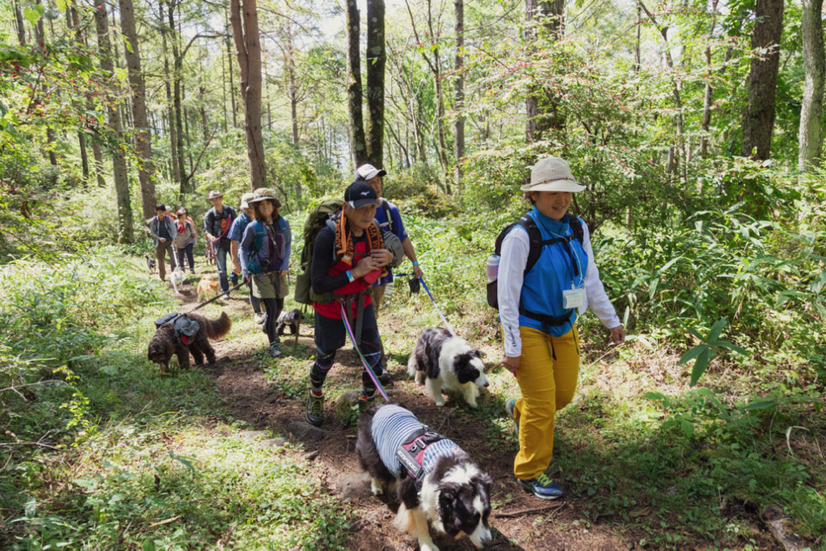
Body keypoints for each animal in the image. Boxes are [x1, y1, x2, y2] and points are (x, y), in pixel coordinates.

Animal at [354, 402, 490, 551]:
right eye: (470, 519)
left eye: (487, 515)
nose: (488, 543)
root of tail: (380, 405)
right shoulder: (414, 492)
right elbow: (421, 524)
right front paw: (427, 545)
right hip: (371, 448)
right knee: (372, 466)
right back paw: (376, 486)